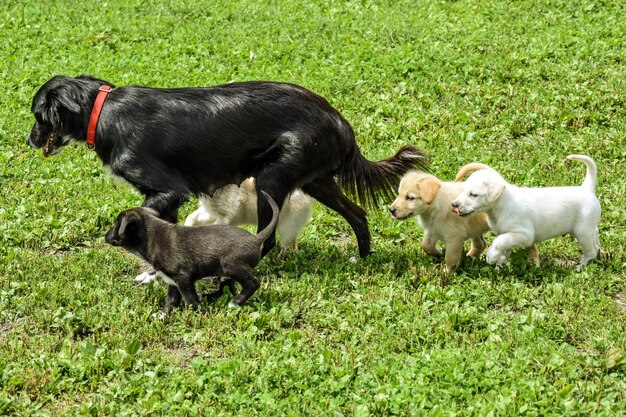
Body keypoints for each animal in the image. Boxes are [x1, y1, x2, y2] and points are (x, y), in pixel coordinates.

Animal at [26, 75, 426, 256]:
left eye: (37, 116)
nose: (28, 140)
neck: (103, 112)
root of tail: (341, 122)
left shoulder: (168, 190)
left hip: (270, 180)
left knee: (266, 238)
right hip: (314, 180)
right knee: (358, 213)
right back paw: (363, 256)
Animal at [105, 190, 278, 310]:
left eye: (116, 225)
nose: (105, 236)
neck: (151, 236)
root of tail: (256, 239)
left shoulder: (184, 279)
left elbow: (191, 301)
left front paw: (200, 314)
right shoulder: (173, 281)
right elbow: (171, 301)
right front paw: (162, 317)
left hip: (231, 265)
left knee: (253, 283)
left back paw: (234, 303)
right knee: (227, 287)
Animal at [448, 154, 600, 270]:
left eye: (473, 194)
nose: (454, 205)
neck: (501, 205)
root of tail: (586, 188)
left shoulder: (524, 234)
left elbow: (499, 241)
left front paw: (491, 256)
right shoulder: (507, 233)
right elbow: (504, 247)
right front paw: (499, 266)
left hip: (582, 232)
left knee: (591, 252)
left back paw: (580, 267)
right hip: (586, 229)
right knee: (596, 238)